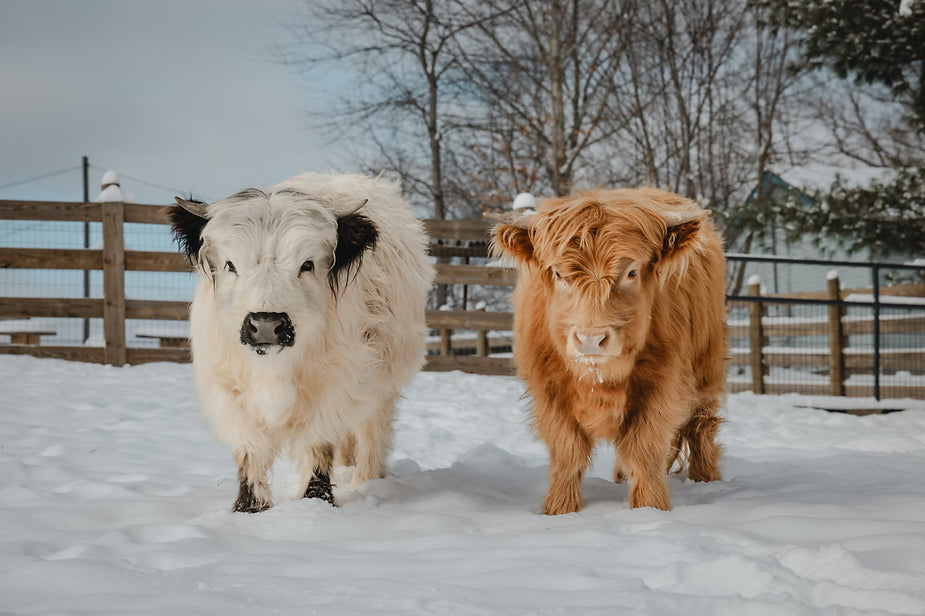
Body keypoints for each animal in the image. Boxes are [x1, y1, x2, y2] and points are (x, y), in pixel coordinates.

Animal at [169, 172, 434, 510]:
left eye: (306, 264)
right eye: (231, 264)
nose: (265, 324)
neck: (275, 369)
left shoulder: (334, 386)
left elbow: (317, 444)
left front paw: (316, 501)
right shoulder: (229, 389)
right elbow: (250, 450)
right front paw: (249, 507)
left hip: (383, 385)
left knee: (371, 434)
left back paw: (365, 478)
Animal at [494, 185, 724, 512]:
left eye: (631, 272)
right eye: (558, 274)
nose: (591, 338)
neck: (599, 379)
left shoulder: (661, 386)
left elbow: (644, 450)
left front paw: (650, 509)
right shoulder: (549, 390)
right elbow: (567, 454)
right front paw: (560, 510)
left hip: (707, 369)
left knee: (701, 427)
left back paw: (707, 480)